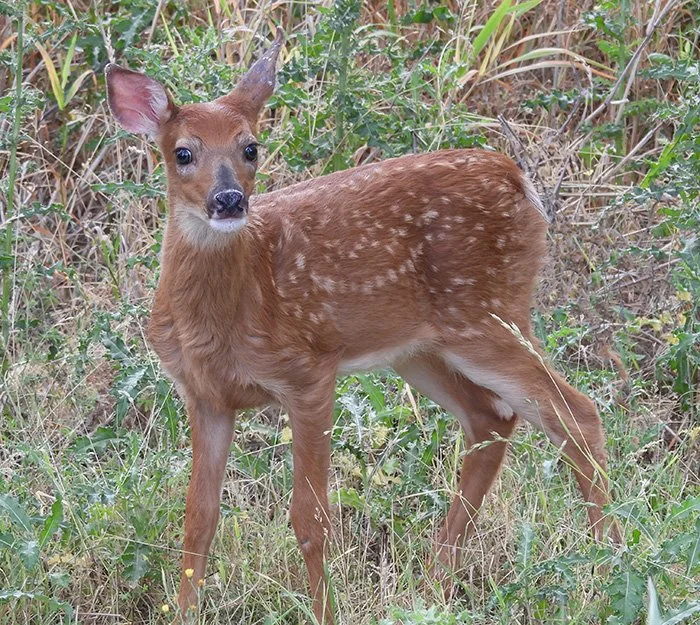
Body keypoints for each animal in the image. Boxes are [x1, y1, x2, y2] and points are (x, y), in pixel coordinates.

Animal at [106, 29, 619, 624]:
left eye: (250, 147)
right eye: (182, 152)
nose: (229, 199)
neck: (231, 313)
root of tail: (520, 181)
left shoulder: (308, 372)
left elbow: (310, 519)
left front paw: (325, 612)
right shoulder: (204, 395)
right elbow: (199, 517)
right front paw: (186, 610)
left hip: (489, 314)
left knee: (576, 413)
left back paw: (609, 566)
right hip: (420, 349)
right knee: (491, 418)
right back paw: (434, 587)